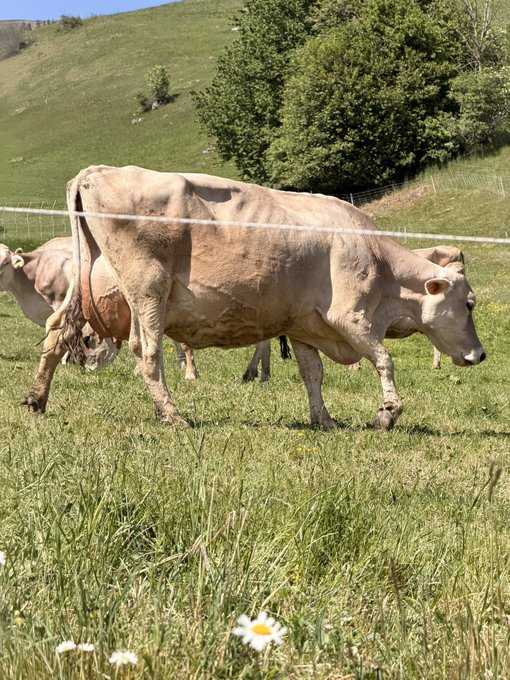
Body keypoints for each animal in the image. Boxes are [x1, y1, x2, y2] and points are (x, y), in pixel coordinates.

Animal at [23, 165, 485, 431]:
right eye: (469, 304)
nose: (480, 355)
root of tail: (97, 171)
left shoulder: (303, 325)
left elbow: (312, 374)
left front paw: (324, 419)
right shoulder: (350, 317)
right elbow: (384, 360)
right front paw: (387, 413)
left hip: (87, 286)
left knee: (56, 332)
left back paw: (36, 399)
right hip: (147, 288)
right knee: (146, 351)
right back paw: (171, 415)